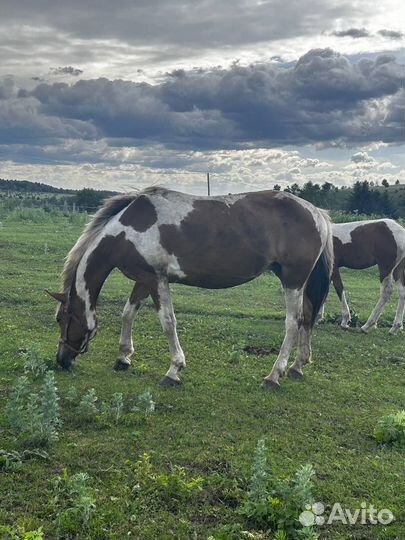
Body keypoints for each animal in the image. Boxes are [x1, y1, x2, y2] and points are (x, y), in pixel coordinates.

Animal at [46, 186, 332, 388]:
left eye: (61, 319)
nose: (61, 360)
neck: (127, 231)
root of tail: (317, 212)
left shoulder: (156, 280)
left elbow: (168, 322)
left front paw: (173, 370)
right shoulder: (144, 278)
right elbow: (128, 313)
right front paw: (123, 357)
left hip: (293, 280)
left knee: (293, 323)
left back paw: (274, 375)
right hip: (301, 282)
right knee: (308, 318)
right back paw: (297, 366)